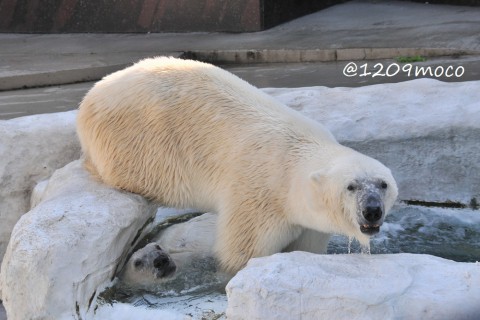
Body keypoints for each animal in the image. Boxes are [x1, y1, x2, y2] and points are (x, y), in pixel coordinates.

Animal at [76, 56, 398, 274]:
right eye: (351, 186)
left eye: (383, 184)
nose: (372, 210)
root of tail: (92, 94)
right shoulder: (258, 195)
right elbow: (242, 253)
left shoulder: (308, 221)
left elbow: (306, 246)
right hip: (134, 141)